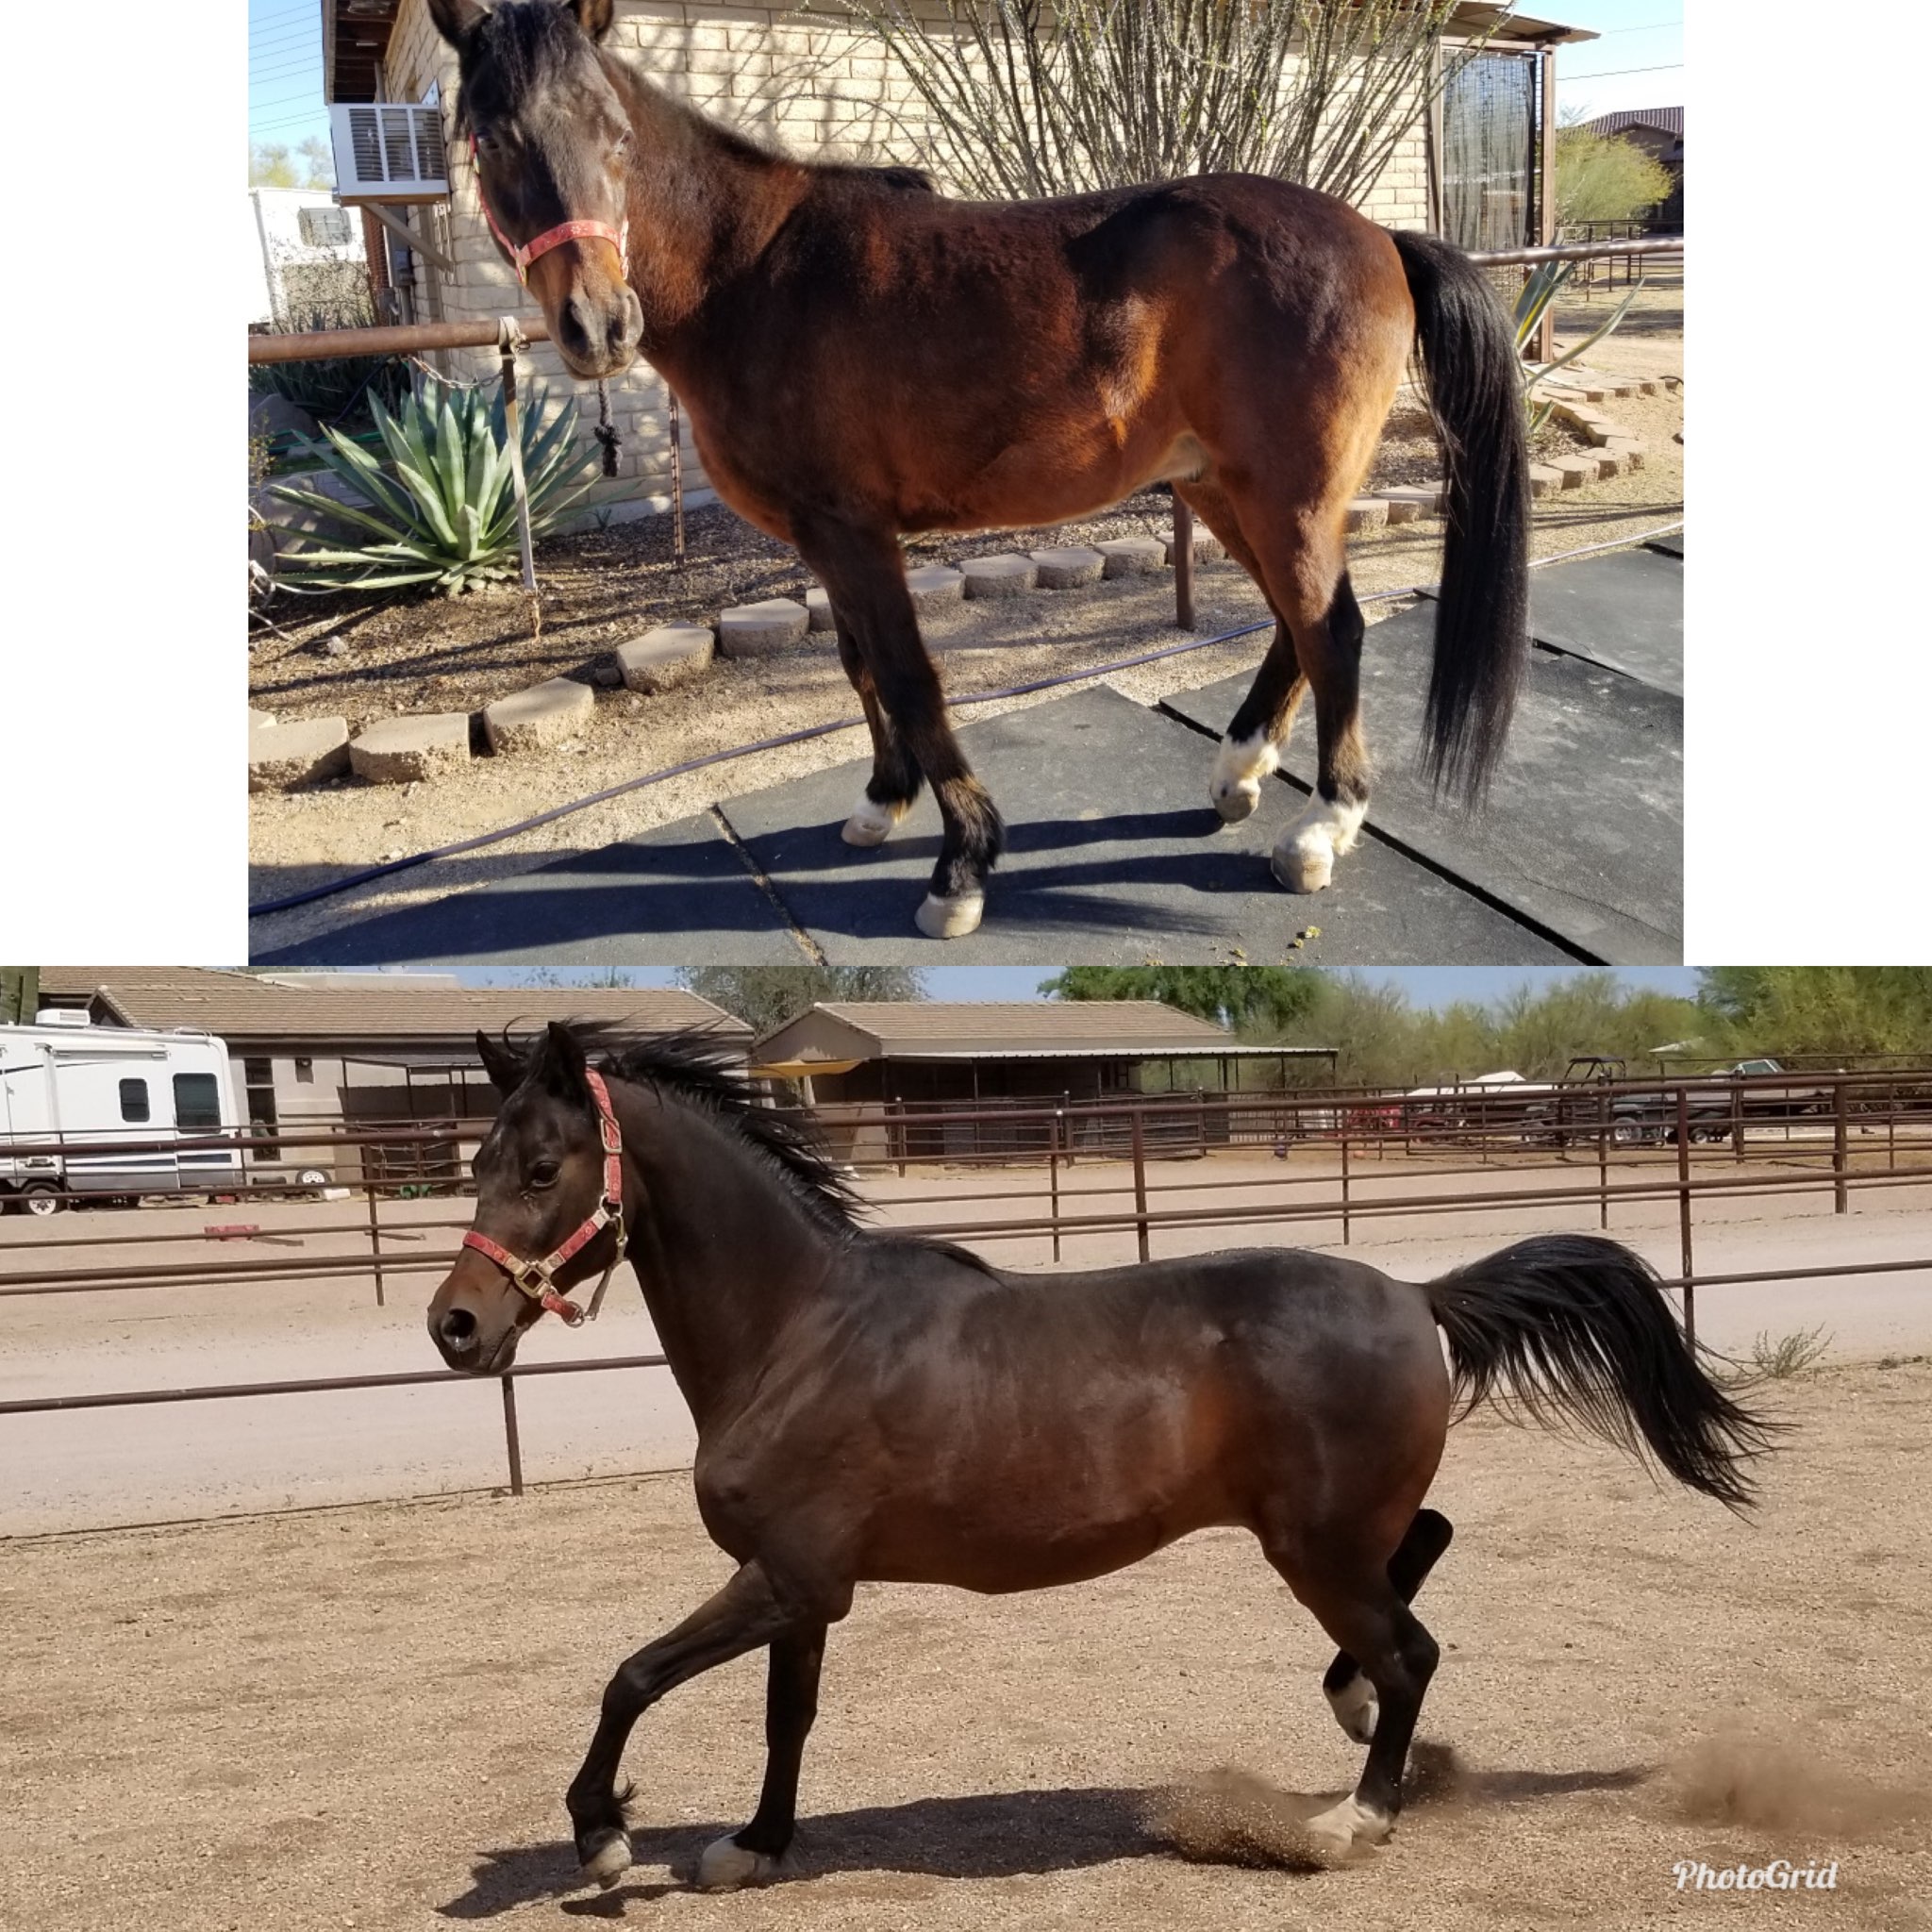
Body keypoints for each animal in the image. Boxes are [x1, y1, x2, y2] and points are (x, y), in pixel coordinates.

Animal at [425, 0, 1531, 940]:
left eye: (612, 132)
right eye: (493, 139)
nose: (599, 326)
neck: (755, 276)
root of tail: (1376, 234)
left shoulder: (856, 533)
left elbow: (911, 677)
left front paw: (961, 865)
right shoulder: (825, 538)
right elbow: (860, 665)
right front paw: (882, 803)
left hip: (1285, 497)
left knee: (1331, 630)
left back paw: (1319, 831)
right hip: (1222, 488)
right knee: (1292, 627)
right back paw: (1239, 770)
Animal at [426, 1024, 1776, 1892]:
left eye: (541, 1167)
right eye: (473, 1164)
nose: (455, 1327)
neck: (800, 1328)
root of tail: (1414, 1292)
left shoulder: (786, 1578)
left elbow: (630, 1677)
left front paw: (604, 1836)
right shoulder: (801, 1588)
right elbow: (784, 1719)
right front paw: (752, 1847)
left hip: (1314, 1545)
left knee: (1413, 1652)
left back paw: (1353, 1816)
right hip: (1338, 1530)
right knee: (1420, 1568)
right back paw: (1345, 1713)